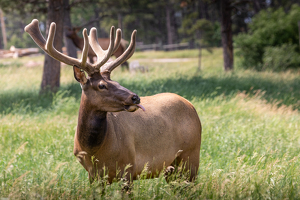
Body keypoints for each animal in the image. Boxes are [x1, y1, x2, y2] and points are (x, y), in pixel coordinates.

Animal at [24, 19, 202, 184]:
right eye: (102, 85)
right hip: (171, 168)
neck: (94, 150)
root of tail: (192, 106)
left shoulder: (129, 167)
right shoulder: (93, 175)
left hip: (191, 155)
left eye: (115, 81)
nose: (135, 97)